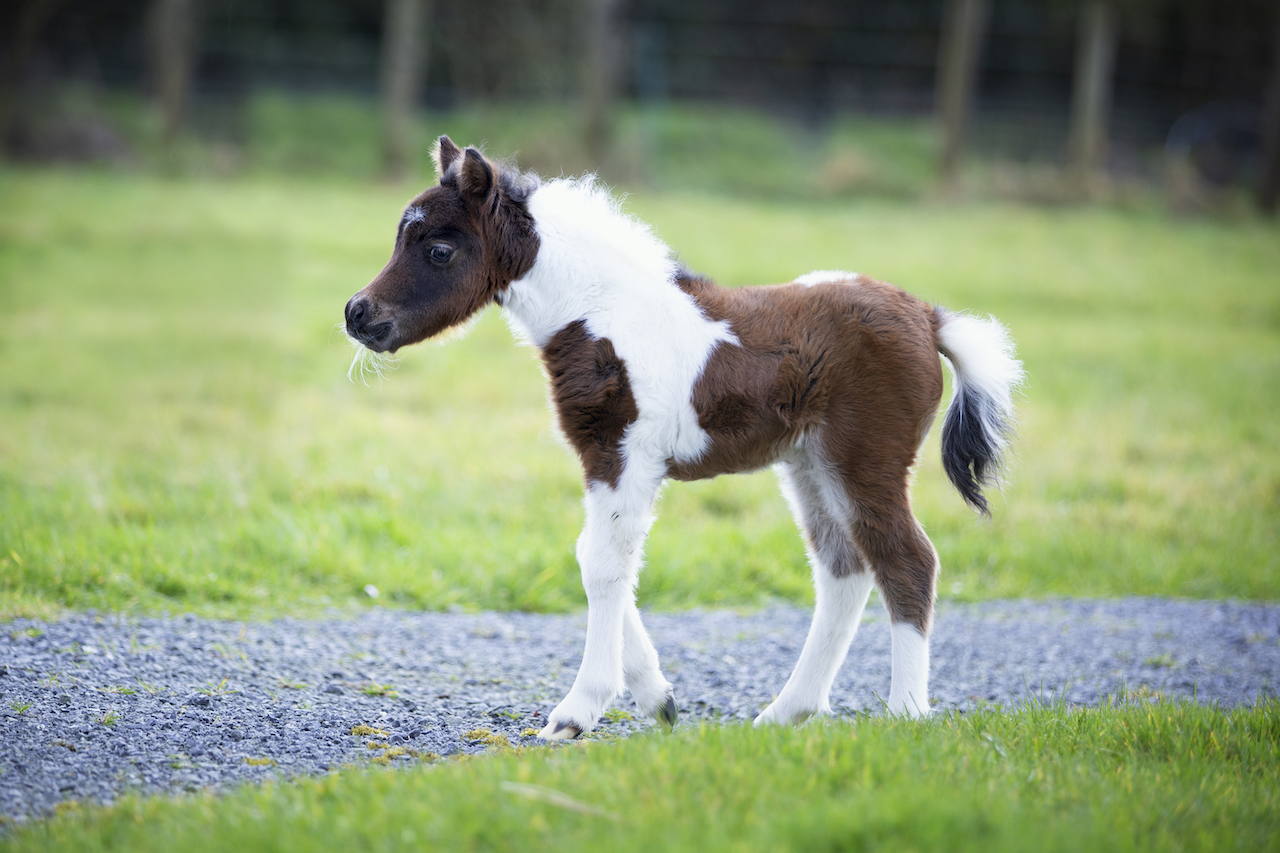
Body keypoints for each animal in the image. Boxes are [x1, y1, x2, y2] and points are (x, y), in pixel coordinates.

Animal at [345, 136, 1023, 739]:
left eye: (438, 250)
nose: (358, 314)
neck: (603, 313)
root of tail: (929, 316)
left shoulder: (624, 452)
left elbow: (604, 563)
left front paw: (576, 713)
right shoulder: (603, 459)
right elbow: (599, 557)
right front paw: (659, 700)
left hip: (867, 460)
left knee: (907, 561)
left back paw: (905, 714)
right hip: (810, 464)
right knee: (844, 570)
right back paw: (784, 715)